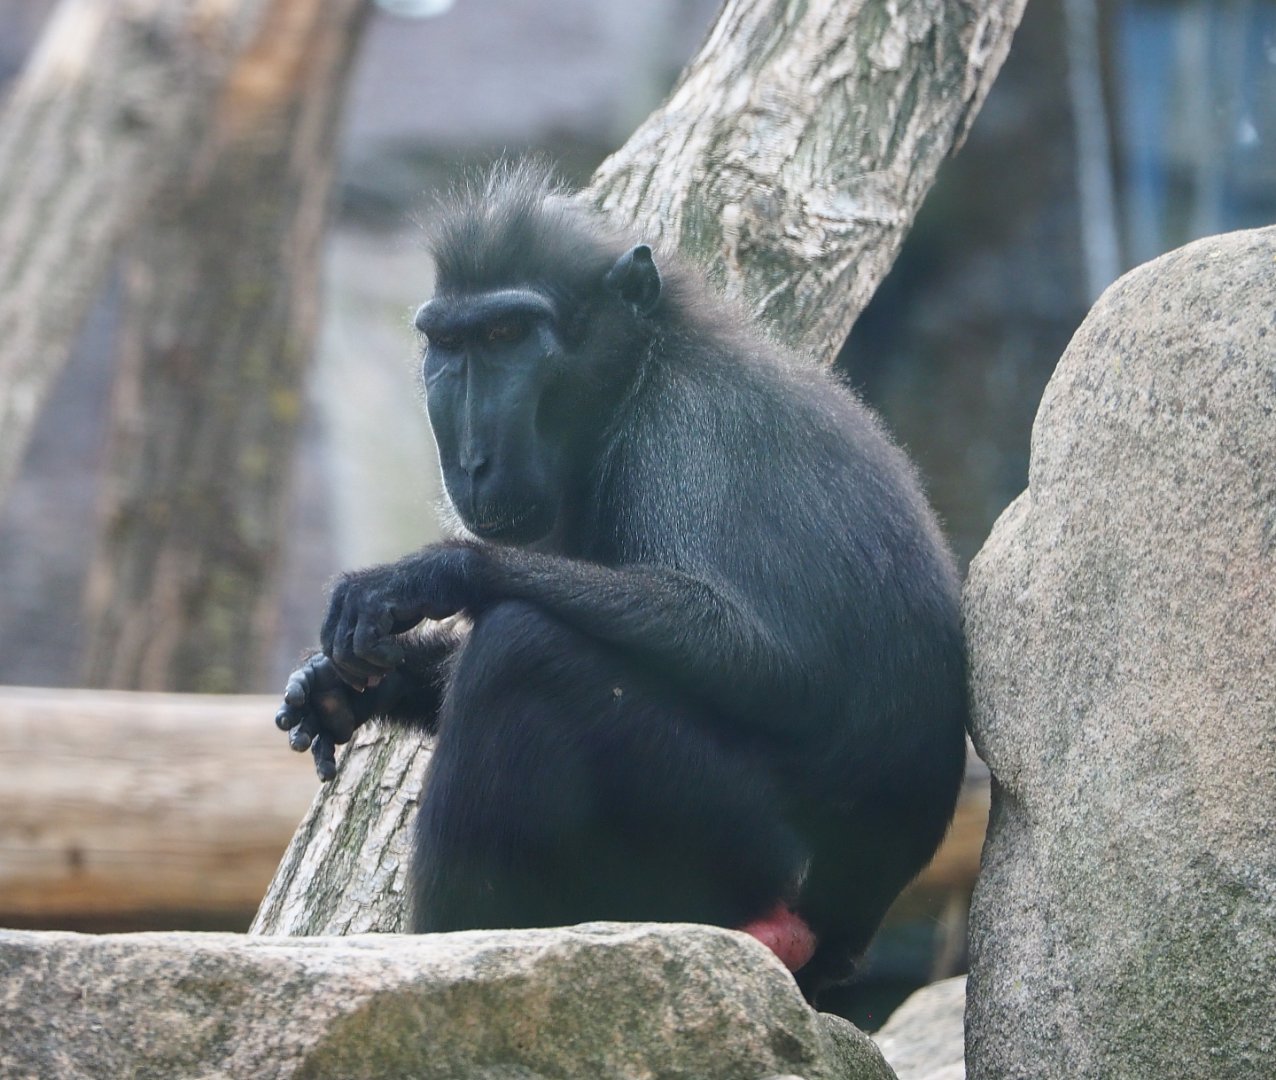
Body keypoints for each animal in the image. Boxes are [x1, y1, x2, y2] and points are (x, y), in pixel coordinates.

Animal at [275, 164, 968, 1000]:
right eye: (449, 345)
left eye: (507, 337)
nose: (470, 460)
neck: (640, 367)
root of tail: (841, 936)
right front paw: (344, 688)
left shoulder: (686, 427)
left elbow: (769, 662)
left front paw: (437, 572)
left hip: (739, 850)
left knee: (525, 654)